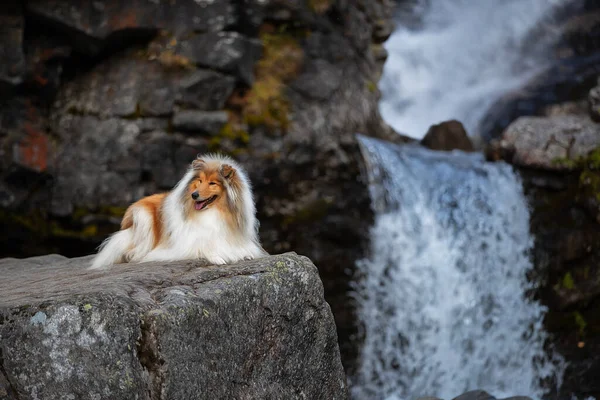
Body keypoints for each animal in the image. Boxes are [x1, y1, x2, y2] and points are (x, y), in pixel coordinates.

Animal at [89, 153, 268, 268]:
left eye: (212, 183)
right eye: (200, 181)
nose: (194, 195)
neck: (212, 212)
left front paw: (244, 254)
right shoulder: (185, 243)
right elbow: (202, 247)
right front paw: (217, 257)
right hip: (143, 218)